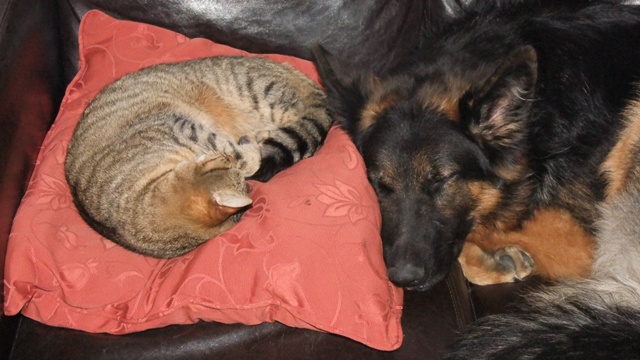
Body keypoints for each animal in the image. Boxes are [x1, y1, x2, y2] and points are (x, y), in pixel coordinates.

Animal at [65, 55, 336, 258]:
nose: (224, 158)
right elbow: (243, 157)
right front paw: (247, 150)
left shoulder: (183, 126)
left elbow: (238, 153)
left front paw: (246, 148)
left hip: (258, 93)